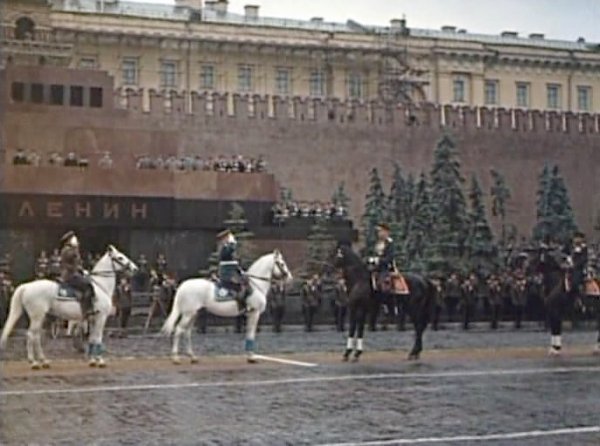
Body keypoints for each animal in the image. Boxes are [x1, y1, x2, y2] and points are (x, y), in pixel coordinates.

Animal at [0, 246, 137, 368]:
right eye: (120, 257)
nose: (135, 268)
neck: (100, 286)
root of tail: (26, 286)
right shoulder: (101, 317)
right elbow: (98, 338)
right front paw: (100, 361)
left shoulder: (92, 319)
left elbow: (92, 339)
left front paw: (92, 360)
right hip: (37, 316)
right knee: (31, 335)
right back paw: (34, 363)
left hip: (40, 317)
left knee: (36, 336)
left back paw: (43, 361)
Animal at [159, 249, 290, 364]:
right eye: (282, 264)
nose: (289, 277)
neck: (256, 285)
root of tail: (182, 285)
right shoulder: (255, 313)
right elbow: (251, 334)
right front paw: (251, 357)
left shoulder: (249, 314)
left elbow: (248, 333)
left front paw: (249, 355)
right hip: (188, 314)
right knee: (178, 331)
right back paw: (175, 358)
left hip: (193, 314)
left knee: (187, 333)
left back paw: (193, 357)